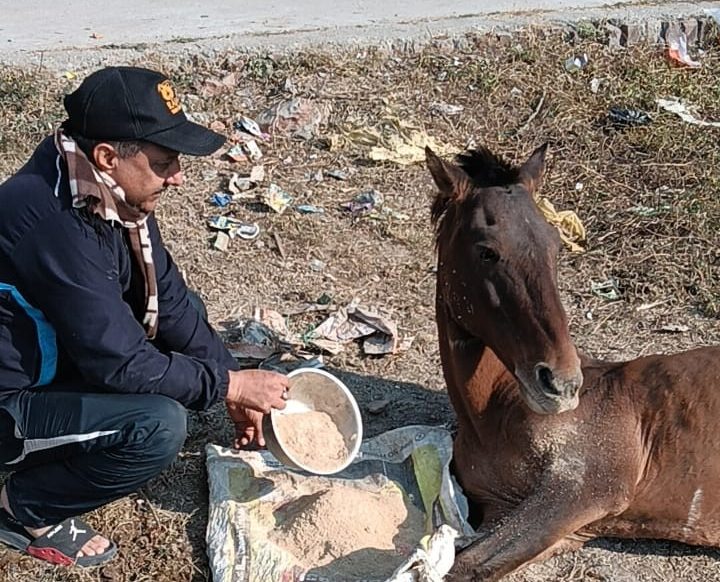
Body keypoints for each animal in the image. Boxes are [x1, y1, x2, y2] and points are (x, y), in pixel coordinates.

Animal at [424, 143, 720, 582]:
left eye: (556, 247)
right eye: (486, 251)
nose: (561, 384)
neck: (495, 414)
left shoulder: (584, 488)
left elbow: (460, 567)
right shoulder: (547, 523)